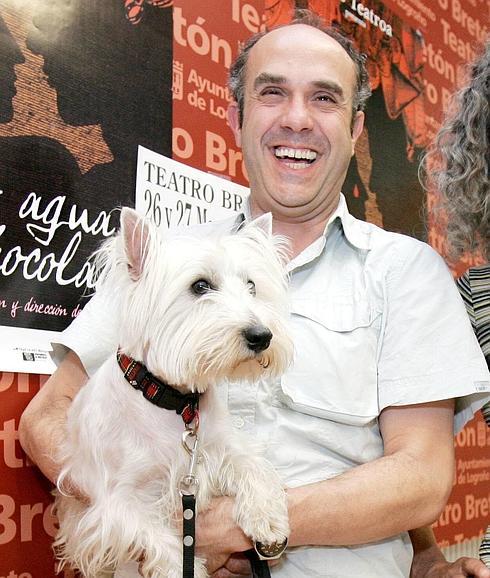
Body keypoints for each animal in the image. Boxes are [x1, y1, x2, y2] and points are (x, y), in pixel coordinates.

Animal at [54, 207, 290, 576]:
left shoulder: (220, 448)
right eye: (200, 286)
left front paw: (268, 521)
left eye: (251, 286)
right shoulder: (117, 500)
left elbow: (252, 465)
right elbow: (160, 540)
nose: (262, 336)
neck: (174, 403)